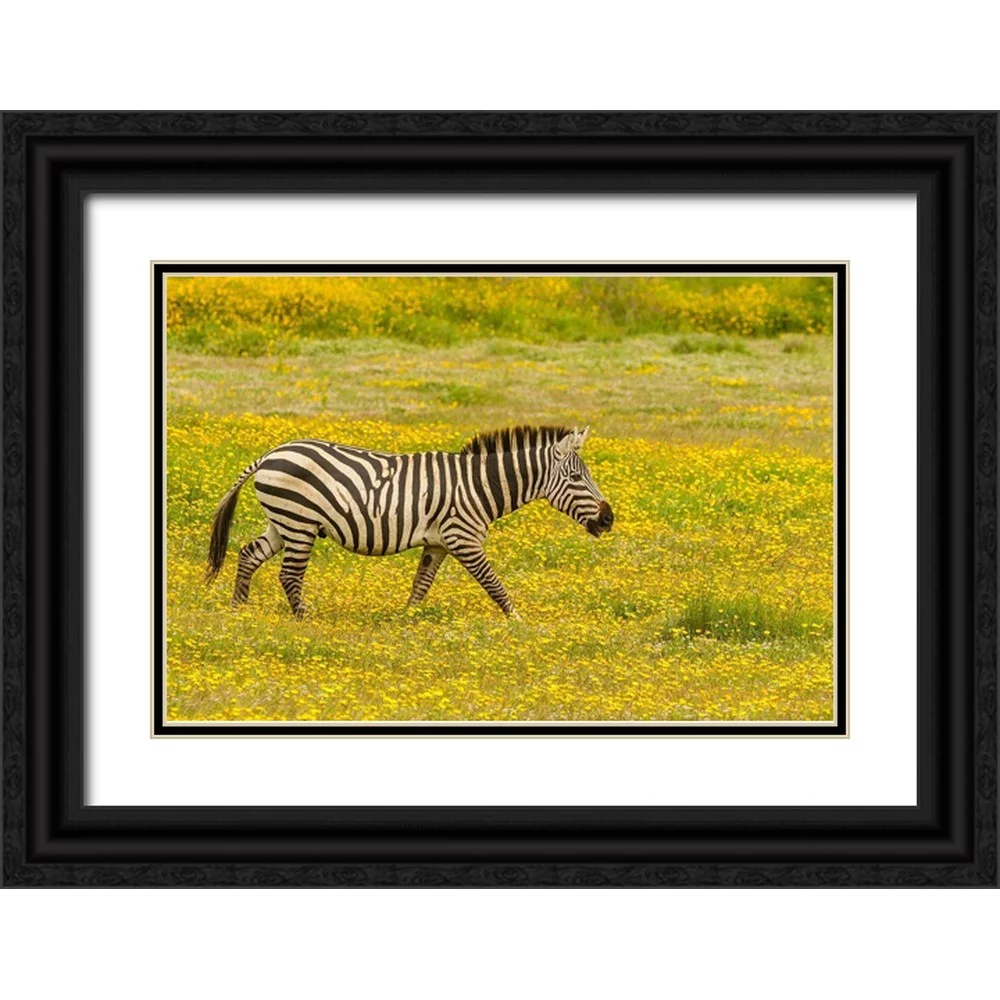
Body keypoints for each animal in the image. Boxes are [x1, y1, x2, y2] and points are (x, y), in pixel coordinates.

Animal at [205, 425, 614, 619]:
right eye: (576, 478)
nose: (609, 518)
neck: (479, 486)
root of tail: (270, 453)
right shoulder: (463, 539)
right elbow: (496, 586)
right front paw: (519, 623)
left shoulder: (437, 544)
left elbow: (421, 586)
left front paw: (407, 622)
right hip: (300, 522)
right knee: (289, 575)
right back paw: (304, 617)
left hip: (283, 522)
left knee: (249, 555)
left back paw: (239, 610)